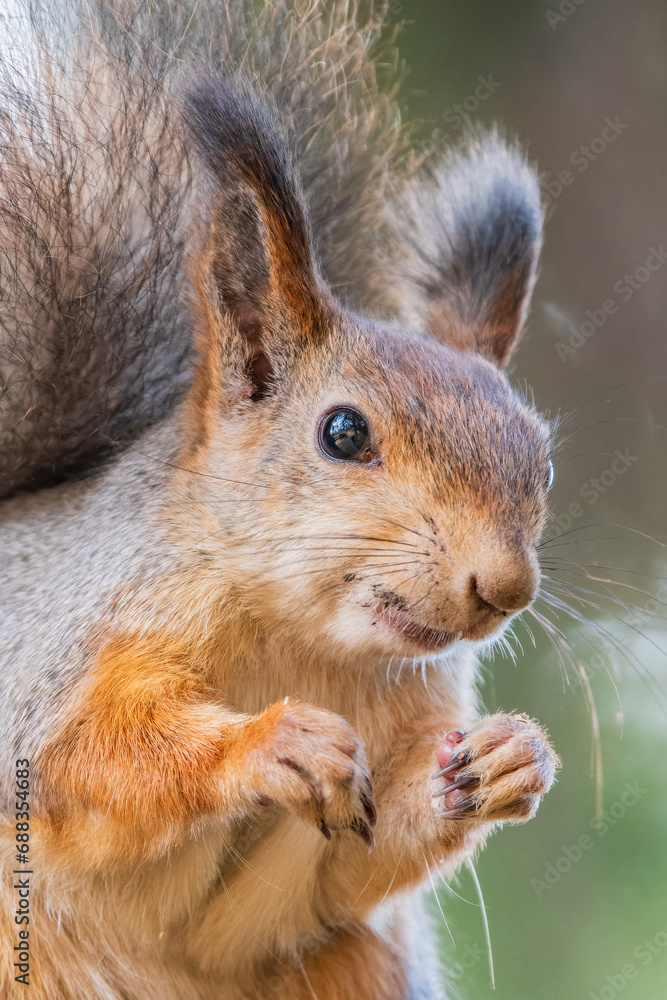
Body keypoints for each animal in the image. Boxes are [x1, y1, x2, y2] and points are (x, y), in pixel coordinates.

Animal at [0, 2, 560, 999]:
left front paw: (508, 759)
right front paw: (268, 744)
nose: (503, 589)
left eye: (542, 462)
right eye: (342, 433)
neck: (306, 645)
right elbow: (85, 757)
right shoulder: (60, 652)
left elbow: (347, 870)